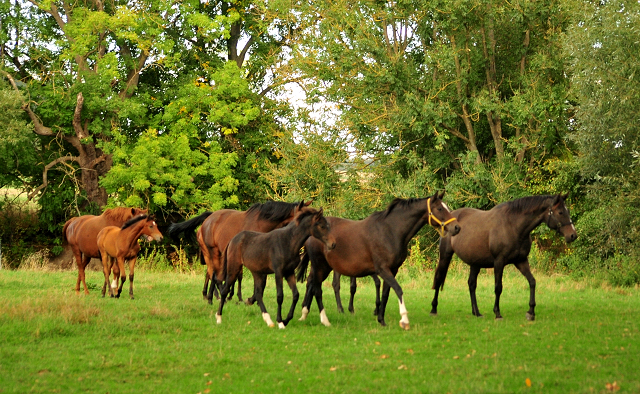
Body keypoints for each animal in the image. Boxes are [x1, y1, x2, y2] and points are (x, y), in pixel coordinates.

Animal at [298, 191, 458, 330]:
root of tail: (310, 234)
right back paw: (319, 318)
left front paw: (381, 319)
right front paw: (404, 320)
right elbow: (398, 290)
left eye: (447, 207)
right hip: (321, 266)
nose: (456, 227)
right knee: (316, 287)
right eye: (439, 208)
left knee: (311, 284)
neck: (390, 231)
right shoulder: (383, 269)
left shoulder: (392, 270)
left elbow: (386, 294)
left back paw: (304, 314)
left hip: (323, 267)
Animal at [432, 193, 576, 320]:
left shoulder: (521, 261)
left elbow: (532, 282)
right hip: (445, 256)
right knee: (439, 279)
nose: (573, 235)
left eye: (567, 211)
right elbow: (498, 287)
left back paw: (477, 313)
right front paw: (497, 313)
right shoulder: (499, 262)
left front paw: (531, 312)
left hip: (475, 263)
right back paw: (433, 309)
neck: (513, 226)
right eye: (560, 212)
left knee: (472, 284)